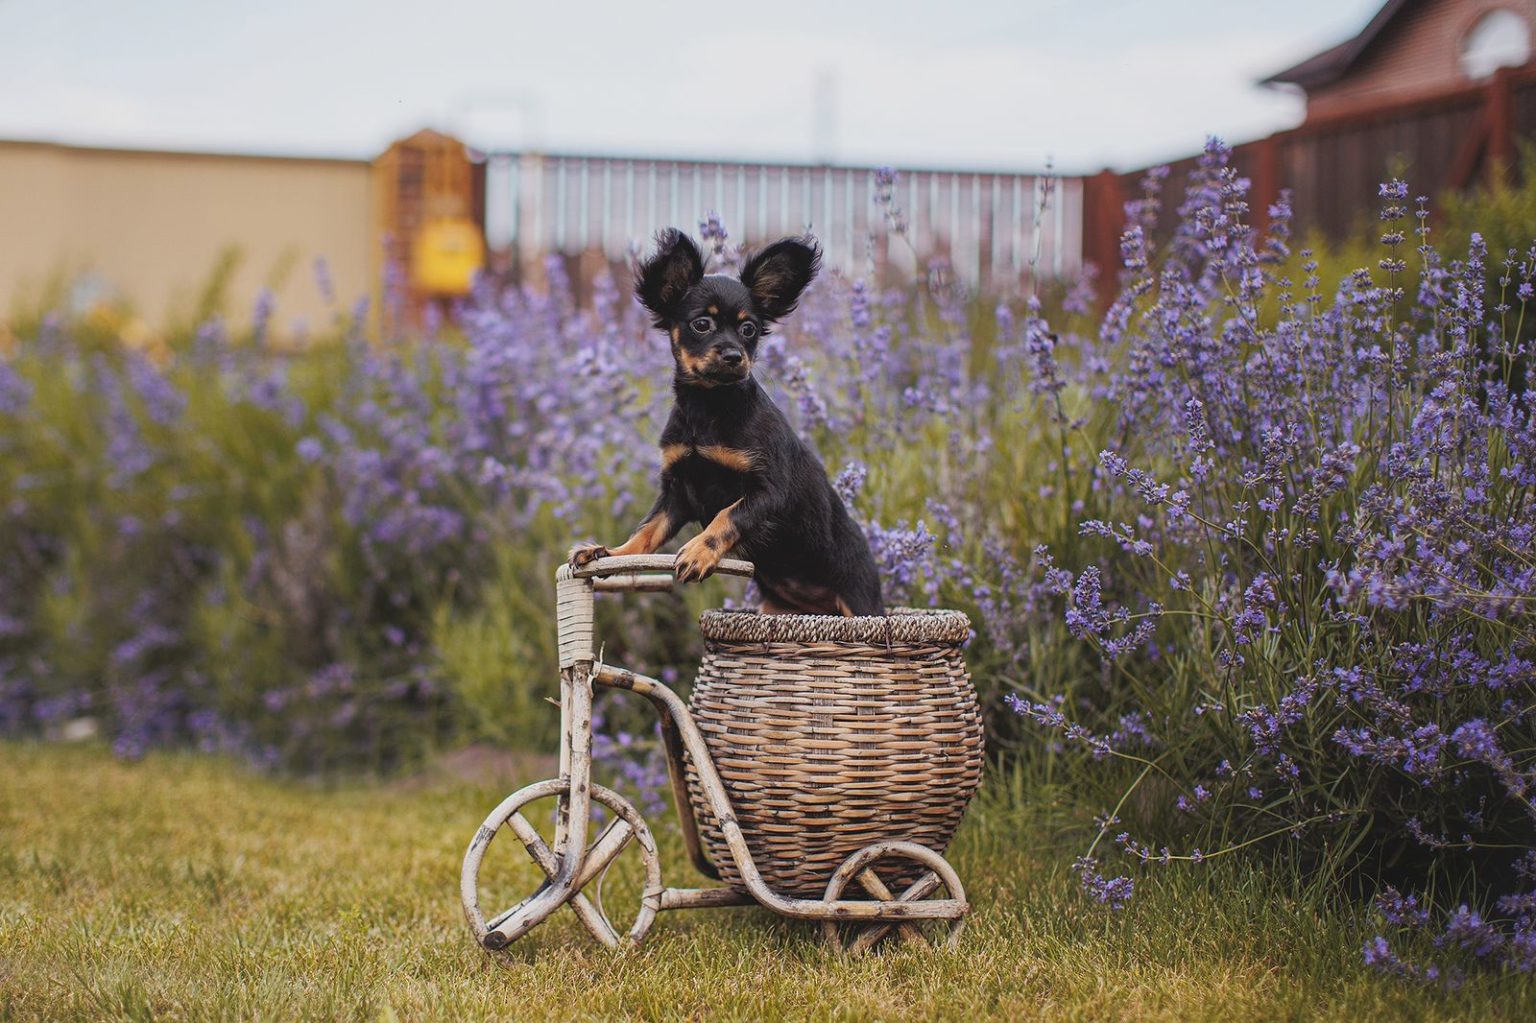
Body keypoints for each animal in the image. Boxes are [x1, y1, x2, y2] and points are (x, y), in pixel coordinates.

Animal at [571, 228, 884, 614]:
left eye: (749, 329)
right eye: (702, 324)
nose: (735, 356)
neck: (709, 406)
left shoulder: (769, 490)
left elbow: (729, 515)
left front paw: (699, 552)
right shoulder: (676, 492)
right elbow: (645, 531)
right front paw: (610, 553)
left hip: (859, 602)